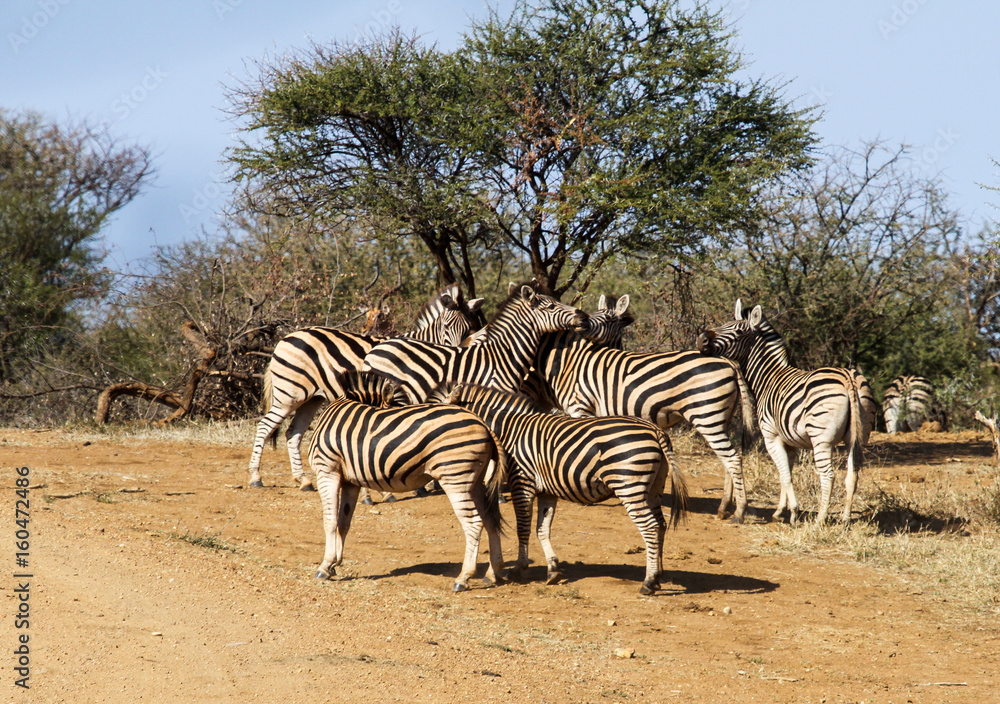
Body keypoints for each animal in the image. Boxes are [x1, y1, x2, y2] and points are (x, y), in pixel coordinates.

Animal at [247, 285, 483, 491]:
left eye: (469, 329)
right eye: (446, 326)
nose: (457, 354)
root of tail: (285, 338)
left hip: (311, 398)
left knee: (293, 432)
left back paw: (303, 480)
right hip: (290, 394)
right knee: (265, 426)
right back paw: (256, 477)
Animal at [307, 371, 507, 593]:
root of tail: (483, 424)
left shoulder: (327, 470)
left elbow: (330, 520)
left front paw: (325, 566)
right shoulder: (351, 481)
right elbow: (344, 522)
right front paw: (335, 563)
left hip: (455, 477)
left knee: (474, 523)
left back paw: (463, 578)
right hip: (477, 482)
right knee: (490, 520)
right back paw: (494, 573)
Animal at [432, 383, 688, 595]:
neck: (507, 429)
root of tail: (655, 430)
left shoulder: (521, 482)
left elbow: (523, 528)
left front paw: (518, 569)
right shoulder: (547, 491)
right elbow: (542, 529)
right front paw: (553, 570)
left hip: (629, 485)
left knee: (650, 527)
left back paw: (648, 582)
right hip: (654, 487)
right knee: (661, 525)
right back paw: (658, 577)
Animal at [522, 299, 757, 523]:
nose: (583, 321)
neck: (568, 362)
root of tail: (728, 361)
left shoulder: (580, 406)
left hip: (707, 415)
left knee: (732, 458)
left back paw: (739, 512)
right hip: (721, 417)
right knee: (727, 459)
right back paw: (724, 508)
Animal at [697, 300, 876, 524]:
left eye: (738, 332)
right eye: (724, 324)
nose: (701, 339)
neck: (768, 377)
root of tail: (848, 377)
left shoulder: (770, 436)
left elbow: (784, 474)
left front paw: (793, 512)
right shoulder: (790, 442)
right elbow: (786, 473)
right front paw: (780, 511)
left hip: (821, 438)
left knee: (828, 475)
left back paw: (819, 520)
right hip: (859, 435)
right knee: (853, 474)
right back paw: (844, 519)